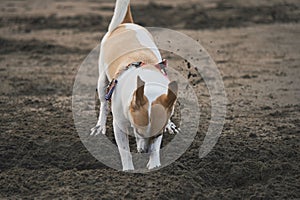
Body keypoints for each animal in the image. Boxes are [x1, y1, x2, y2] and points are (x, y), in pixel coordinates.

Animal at [89, 0, 178, 171]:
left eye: (157, 134)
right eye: (138, 131)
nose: (144, 151)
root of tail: (125, 24)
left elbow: (156, 147)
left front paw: (154, 165)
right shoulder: (119, 126)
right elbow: (124, 150)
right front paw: (128, 170)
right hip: (102, 80)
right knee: (103, 104)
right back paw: (100, 126)